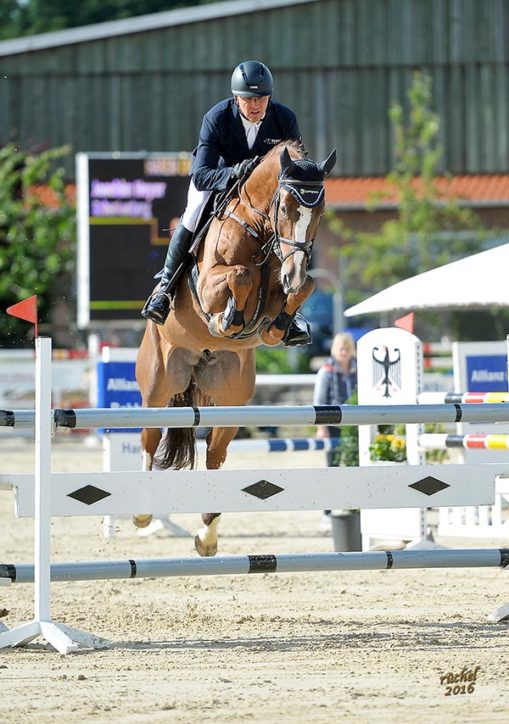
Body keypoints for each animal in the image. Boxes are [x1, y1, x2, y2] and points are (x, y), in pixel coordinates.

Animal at [133, 143, 336, 560]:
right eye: (285, 207)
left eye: (320, 210)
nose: (292, 272)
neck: (261, 234)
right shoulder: (211, 282)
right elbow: (239, 276)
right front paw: (226, 319)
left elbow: (304, 288)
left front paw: (284, 319)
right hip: (159, 383)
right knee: (149, 436)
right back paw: (143, 515)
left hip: (232, 397)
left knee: (215, 455)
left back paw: (207, 537)